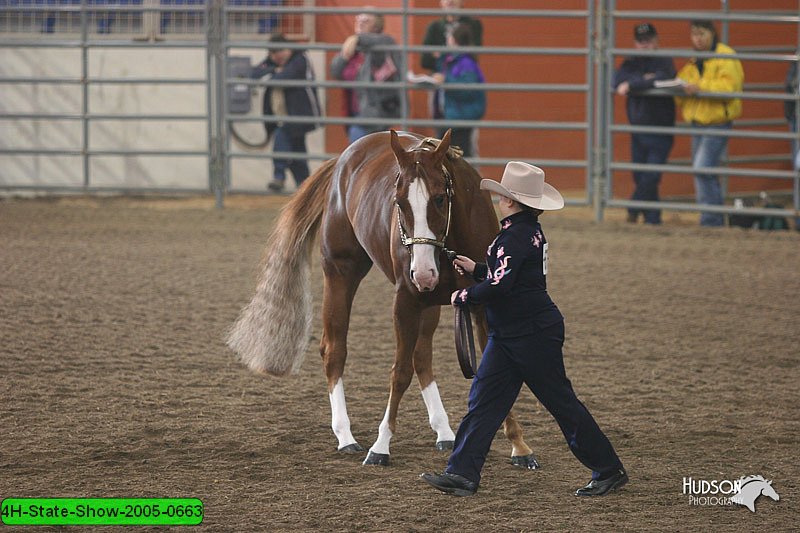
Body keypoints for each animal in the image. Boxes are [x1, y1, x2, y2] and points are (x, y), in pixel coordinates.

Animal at [225, 128, 536, 466]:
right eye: (399, 202)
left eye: (440, 198)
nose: (422, 273)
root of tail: (342, 161)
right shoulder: (405, 302)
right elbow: (399, 373)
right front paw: (381, 446)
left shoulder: (481, 302)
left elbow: (494, 368)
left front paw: (519, 445)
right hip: (341, 273)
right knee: (335, 350)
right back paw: (345, 436)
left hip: (427, 305)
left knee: (421, 357)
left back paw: (444, 431)